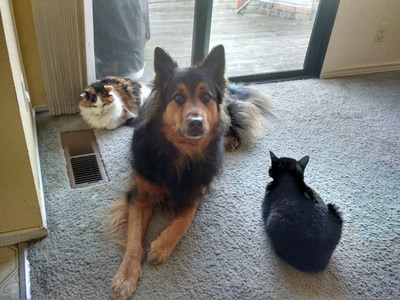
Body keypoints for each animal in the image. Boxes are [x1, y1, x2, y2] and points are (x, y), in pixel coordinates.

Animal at [109, 45, 270, 300]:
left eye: (206, 97)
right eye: (178, 98)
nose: (196, 122)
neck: (181, 153)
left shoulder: (196, 192)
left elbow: (184, 220)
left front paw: (161, 246)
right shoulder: (140, 196)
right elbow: (134, 238)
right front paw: (125, 276)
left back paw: (231, 139)